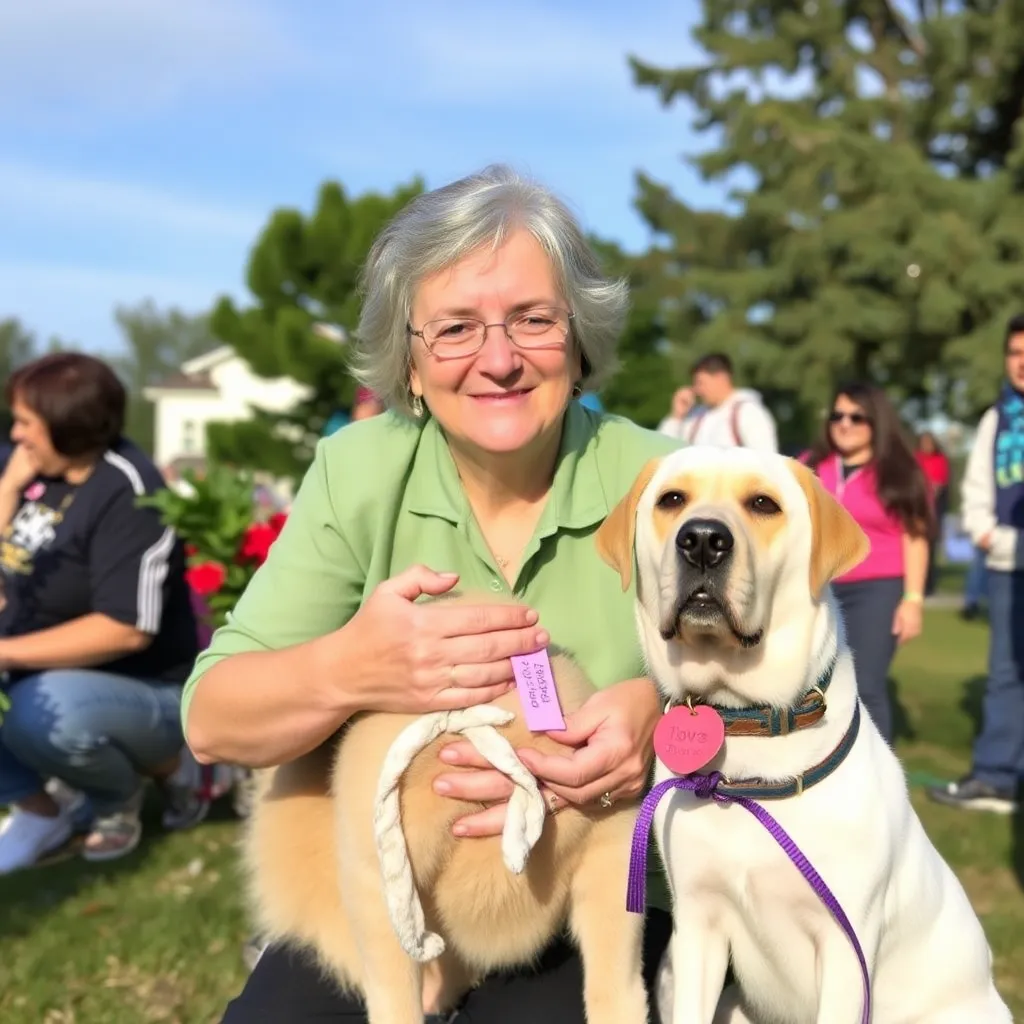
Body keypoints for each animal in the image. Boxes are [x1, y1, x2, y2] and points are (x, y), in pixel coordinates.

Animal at [598, 446, 1011, 1024]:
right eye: (672, 499)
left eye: (763, 504)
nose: (701, 539)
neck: (746, 739)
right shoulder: (698, 926)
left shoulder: (845, 949)